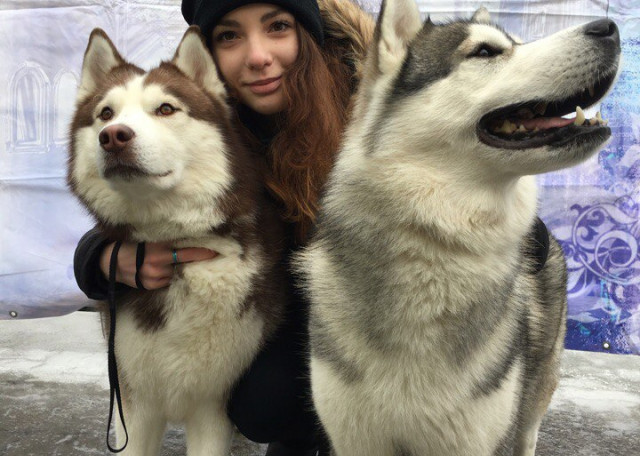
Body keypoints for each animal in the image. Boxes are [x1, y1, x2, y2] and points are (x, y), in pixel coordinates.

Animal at [68, 27, 287, 455]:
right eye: (106, 114)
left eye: (166, 109)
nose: (112, 137)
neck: (175, 248)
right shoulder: (133, 403)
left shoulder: (213, 404)